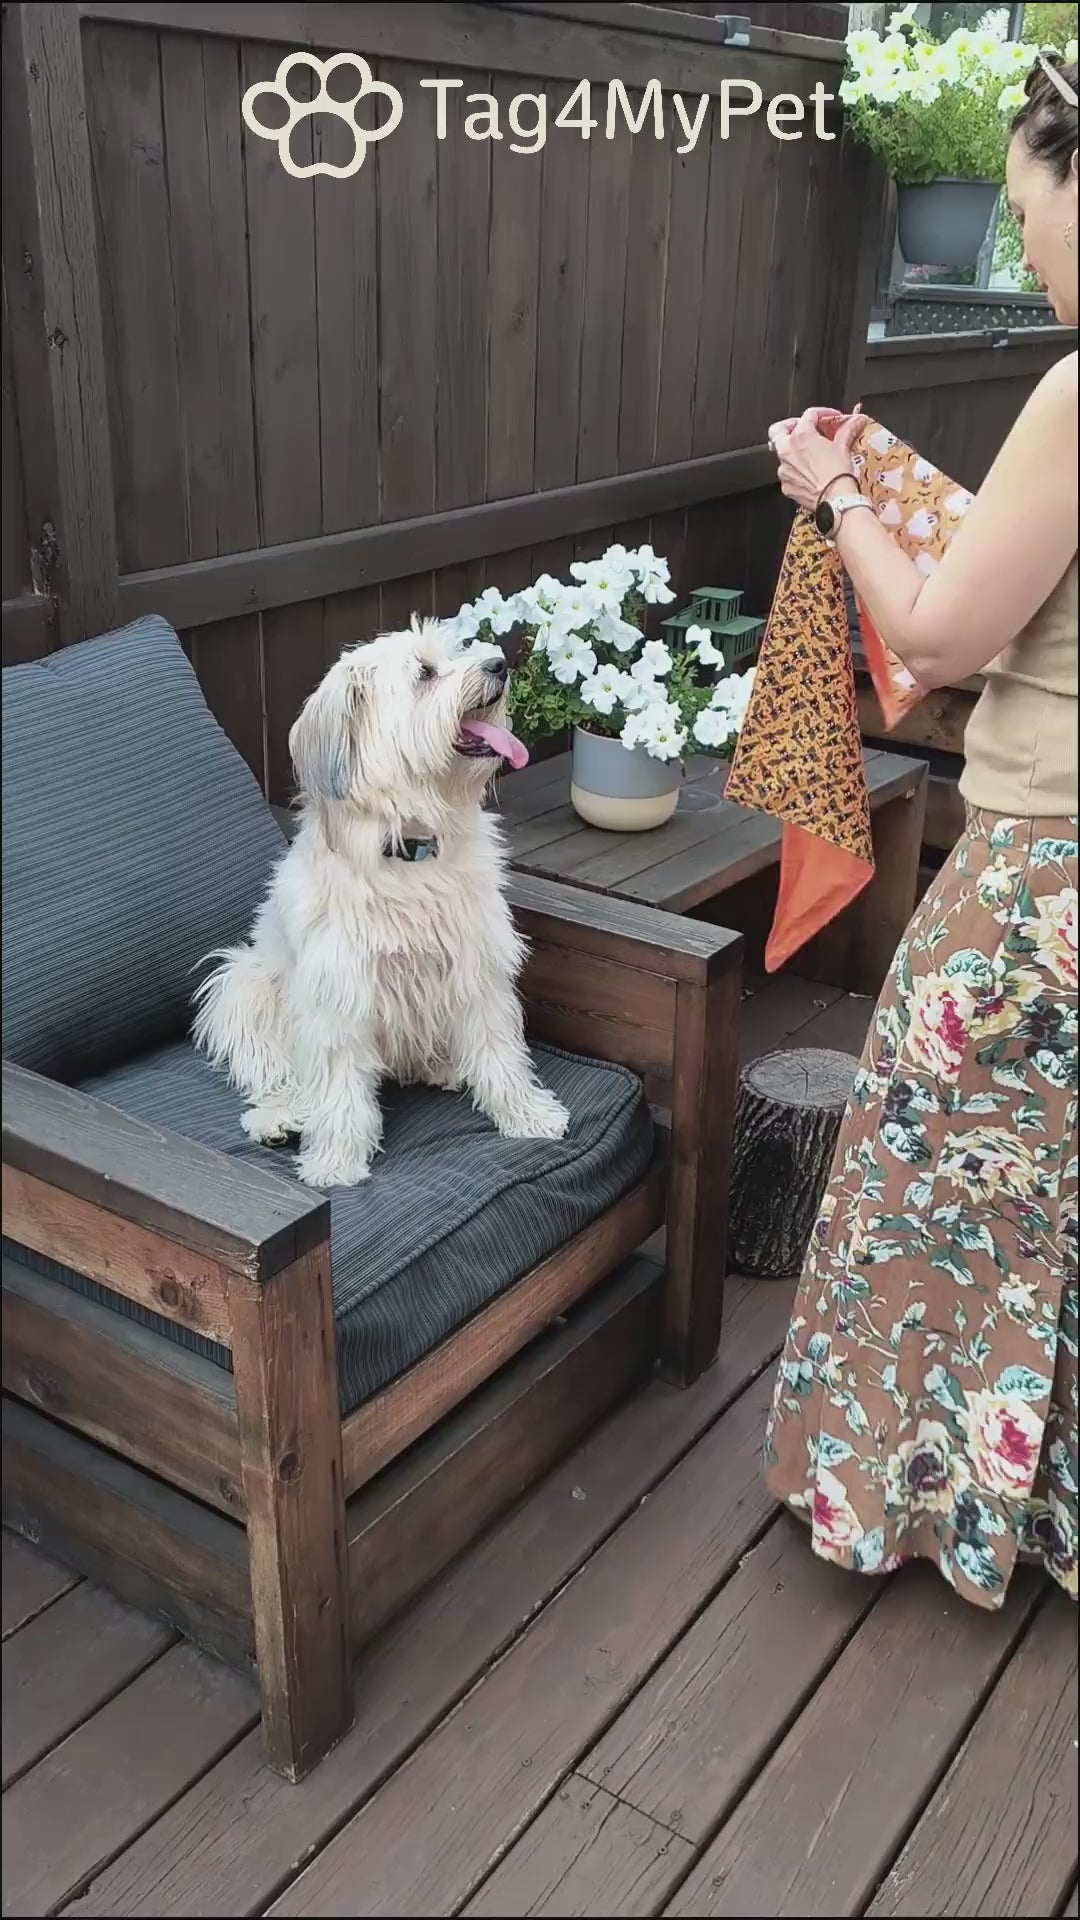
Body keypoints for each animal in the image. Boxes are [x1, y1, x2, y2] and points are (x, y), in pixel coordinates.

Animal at [190, 618, 568, 1182]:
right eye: (425, 673)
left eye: (458, 650)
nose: (500, 663)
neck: (409, 849)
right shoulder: (341, 991)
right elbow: (340, 1089)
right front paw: (337, 1162)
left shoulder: (476, 968)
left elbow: (500, 1054)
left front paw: (528, 1115)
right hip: (242, 986)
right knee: (277, 1073)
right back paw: (280, 1117)